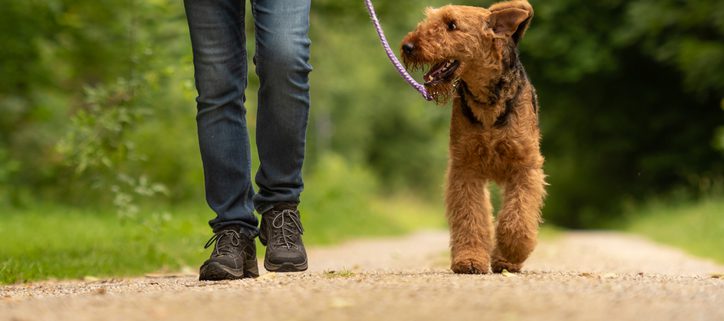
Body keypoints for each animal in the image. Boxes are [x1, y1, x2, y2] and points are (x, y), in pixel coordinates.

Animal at [398, 1, 544, 274]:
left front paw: (511, 250)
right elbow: (470, 217)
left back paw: (506, 260)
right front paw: (469, 260)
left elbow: (517, 218)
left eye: (451, 25)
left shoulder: (525, 166)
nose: (408, 46)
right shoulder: (465, 167)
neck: (487, 102)